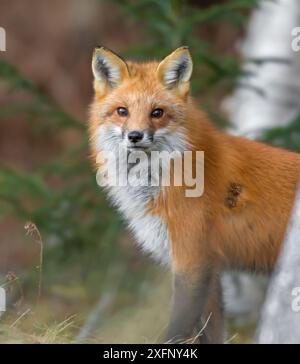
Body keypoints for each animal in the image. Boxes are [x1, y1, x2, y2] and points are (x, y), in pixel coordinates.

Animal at [88, 44, 300, 342]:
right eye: (122, 111)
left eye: (157, 112)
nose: (135, 136)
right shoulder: (210, 267)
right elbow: (212, 331)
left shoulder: (192, 260)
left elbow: (177, 328)